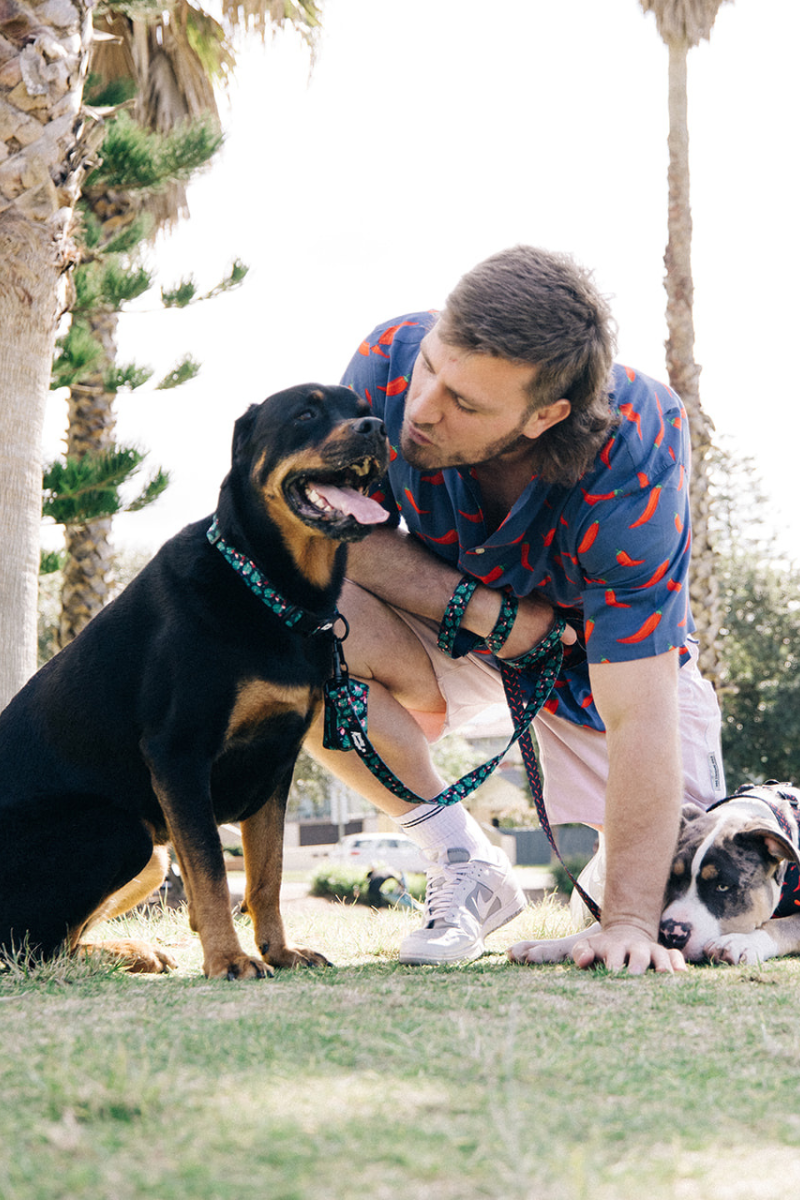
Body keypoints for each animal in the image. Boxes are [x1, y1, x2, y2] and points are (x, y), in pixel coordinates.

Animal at [0, 388, 388, 979]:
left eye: (359, 405)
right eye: (306, 413)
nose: (377, 427)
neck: (265, 587)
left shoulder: (275, 764)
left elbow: (267, 875)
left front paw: (279, 952)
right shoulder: (179, 754)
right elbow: (211, 870)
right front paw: (229, 959)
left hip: (153, 855)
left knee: (59, 943)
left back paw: (128, 951)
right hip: (122, 831)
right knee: (31, 947)